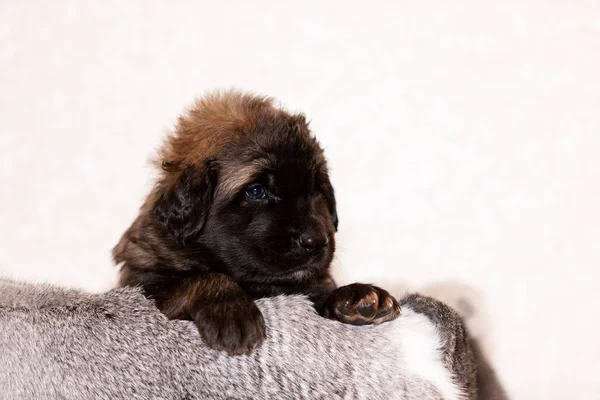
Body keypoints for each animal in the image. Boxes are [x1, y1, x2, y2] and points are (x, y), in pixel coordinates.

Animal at [115, 90, 400, 354]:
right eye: (255, 191)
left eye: (316, 188)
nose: (316, 241)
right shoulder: (142, 286)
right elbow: (198, 279)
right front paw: (232, 312)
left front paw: (359, 296)